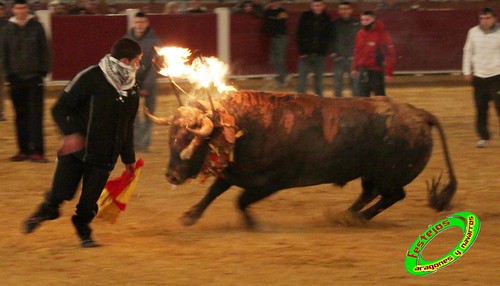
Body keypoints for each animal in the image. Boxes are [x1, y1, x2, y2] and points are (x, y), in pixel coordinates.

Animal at [146, 90, 458, 227]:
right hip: (371, 173)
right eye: (172, 138)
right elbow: (214, 191)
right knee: (371, 193)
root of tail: (420, 114)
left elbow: (240, 200)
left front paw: (251, 223)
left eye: (192, 141)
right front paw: (190, 216)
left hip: (389, 175)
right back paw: (347, 214)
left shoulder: (269, 182)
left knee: (392, 196)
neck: (243, 127)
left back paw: (358, 218)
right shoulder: (236, 172)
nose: (171, 175)